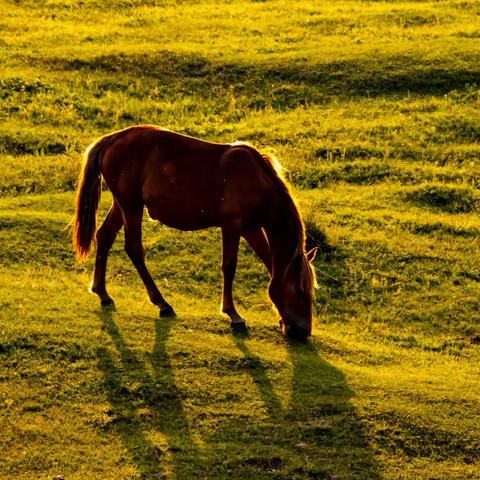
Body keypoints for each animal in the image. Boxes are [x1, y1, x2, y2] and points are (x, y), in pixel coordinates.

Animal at [73, 125, 316, 340]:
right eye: (300, 291)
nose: (303, 332)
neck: (256, 179)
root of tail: (111, 140)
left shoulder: (251, 228)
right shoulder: (232, 225)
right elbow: (229, 267)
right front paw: (233, 315)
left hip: (122, 205)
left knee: (104, 236)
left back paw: (103, 293)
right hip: (131, 205)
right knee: (134, 249)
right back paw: (162, 304)